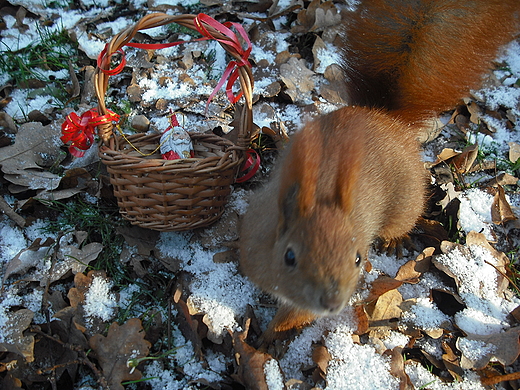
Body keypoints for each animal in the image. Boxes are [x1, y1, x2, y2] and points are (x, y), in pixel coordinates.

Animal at [239, 0, 520, 342]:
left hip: (405, 202)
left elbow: (296, 315)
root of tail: (386, 118)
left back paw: (393, 240)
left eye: (358, 258)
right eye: (289, 257)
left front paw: (267, 339)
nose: (333, 302)